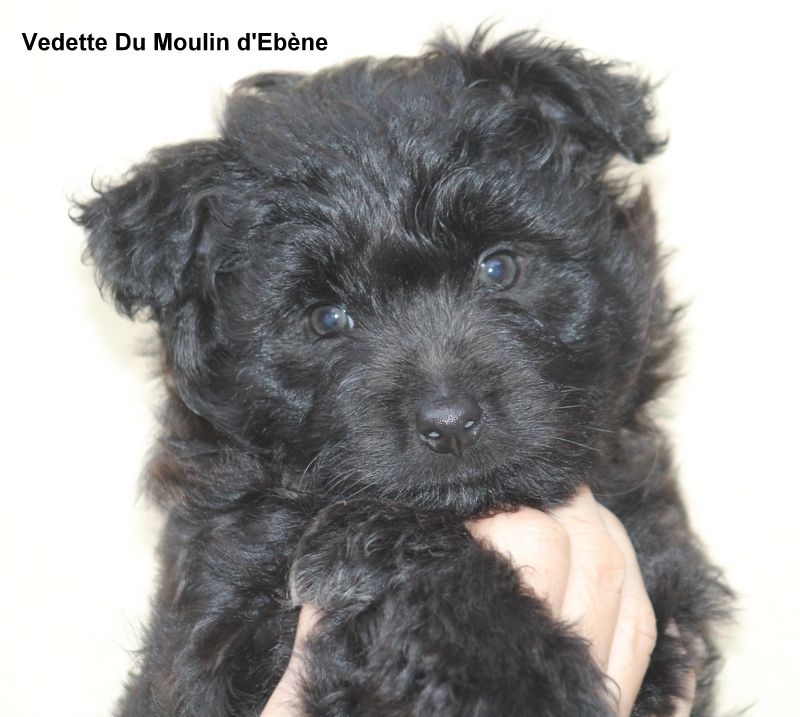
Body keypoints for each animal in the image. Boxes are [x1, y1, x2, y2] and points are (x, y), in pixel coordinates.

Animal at [75, 28, 731, 717]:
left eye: (500, 267)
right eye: (326, 318)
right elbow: (406, 551)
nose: (451, 422)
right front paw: (513, 672)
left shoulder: (655, 558)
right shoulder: (223, 618)